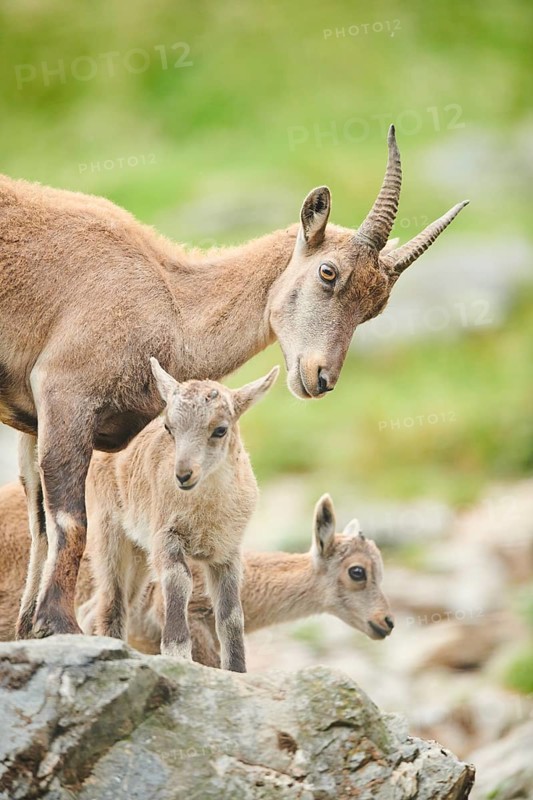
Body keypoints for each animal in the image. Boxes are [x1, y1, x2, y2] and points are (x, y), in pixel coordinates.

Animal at [0, 126, 467, 638]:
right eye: (328, 272)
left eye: (376, 307)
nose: (320, 377)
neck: (170, 302)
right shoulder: (65, 394)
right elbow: (70, 520)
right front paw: (58, 624)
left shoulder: (32, 422)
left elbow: (41, 526)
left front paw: (29, 627)